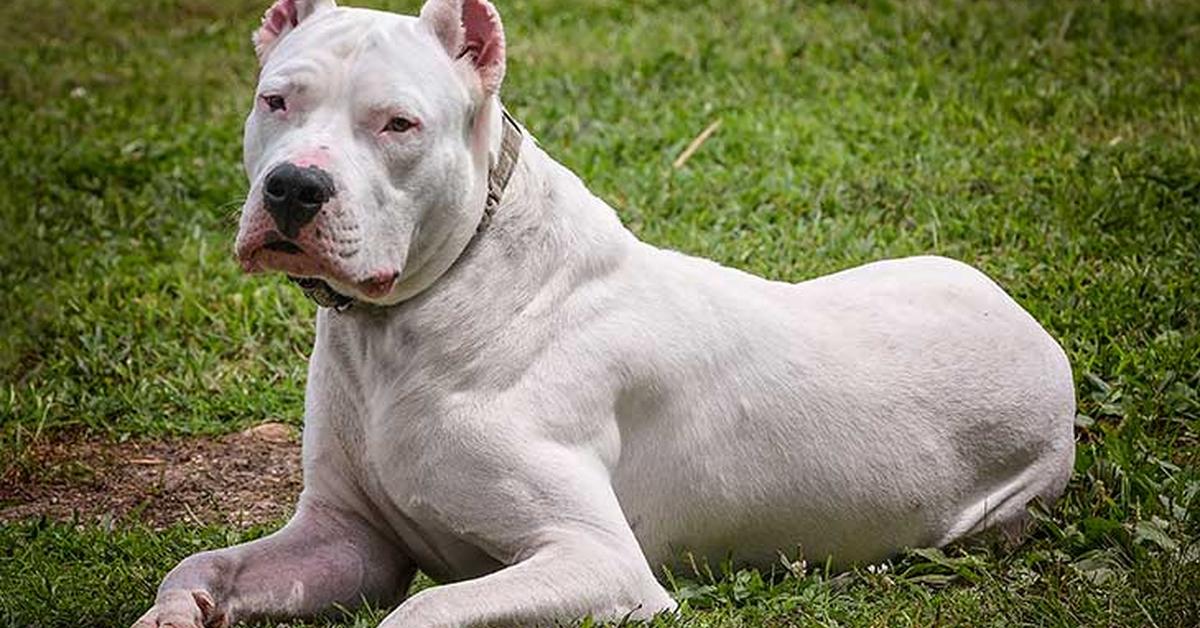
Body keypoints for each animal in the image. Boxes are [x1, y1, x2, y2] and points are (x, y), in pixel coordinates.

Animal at [136, 2, 1075, 624]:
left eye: (399, 123)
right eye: (276, 100)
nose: (293, 187)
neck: (409, 319)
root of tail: (1036, 334)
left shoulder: (597, 561)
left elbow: (420, 612)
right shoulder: (345, 539)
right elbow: (196, 566)